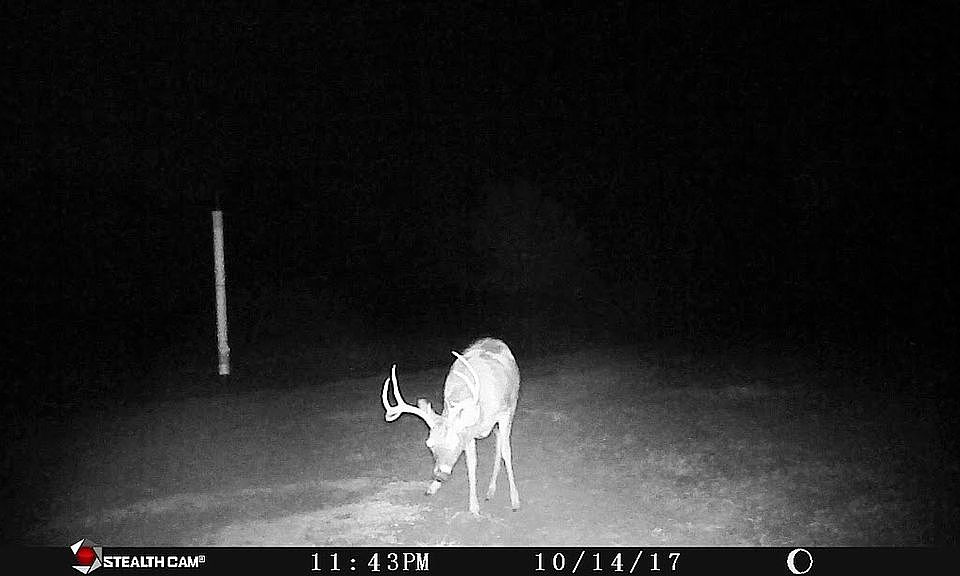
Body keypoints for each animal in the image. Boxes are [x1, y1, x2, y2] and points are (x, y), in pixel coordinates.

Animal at [381, 337, 521, 516]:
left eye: (455, 443)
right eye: (429, 444)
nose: (440, 475)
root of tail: (493, 339)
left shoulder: (503, 414)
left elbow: (506, 452)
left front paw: (515, 500)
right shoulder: (468, 433)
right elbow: (472, 463)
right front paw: (473, 506)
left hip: (512, 404)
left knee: (500, 448)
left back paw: (491, 490)